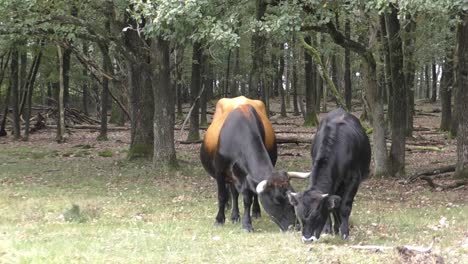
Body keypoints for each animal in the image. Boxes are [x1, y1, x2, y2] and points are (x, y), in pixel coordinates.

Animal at [199, 96, 308, 231]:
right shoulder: (220, 172)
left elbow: (247, 199)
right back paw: (234, 215)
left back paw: (251, 213)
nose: (295, 227)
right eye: (277, 200)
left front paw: (247, 223)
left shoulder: (246, 177)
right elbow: (222, 196)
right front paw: (219, 220)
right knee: (234, 194)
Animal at [288, 108, 372, 242]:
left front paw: (345, 233)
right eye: (300, 216)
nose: (307, 239)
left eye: (316, 215)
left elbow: (344, 207)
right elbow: (331, 206)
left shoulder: (354, 180)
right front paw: (328, 230)